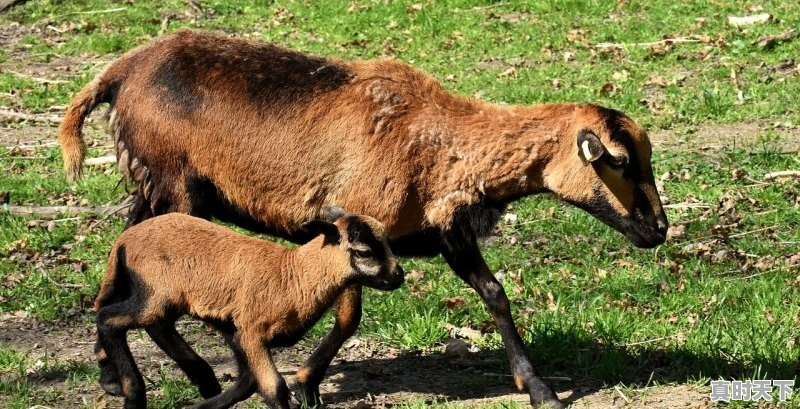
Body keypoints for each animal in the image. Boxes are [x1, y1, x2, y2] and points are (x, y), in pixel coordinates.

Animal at [94, 207, 404, 408]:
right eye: (364, 252)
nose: (398, 276)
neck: (294, 275)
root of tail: (124, 239)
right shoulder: (252, 331)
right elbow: (274, 389)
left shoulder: (238, 331)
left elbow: (247, 383)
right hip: (155, 293)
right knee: (108, 319)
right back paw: (134, 395)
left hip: (165, 298)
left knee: (157, 325)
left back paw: (205, 382)